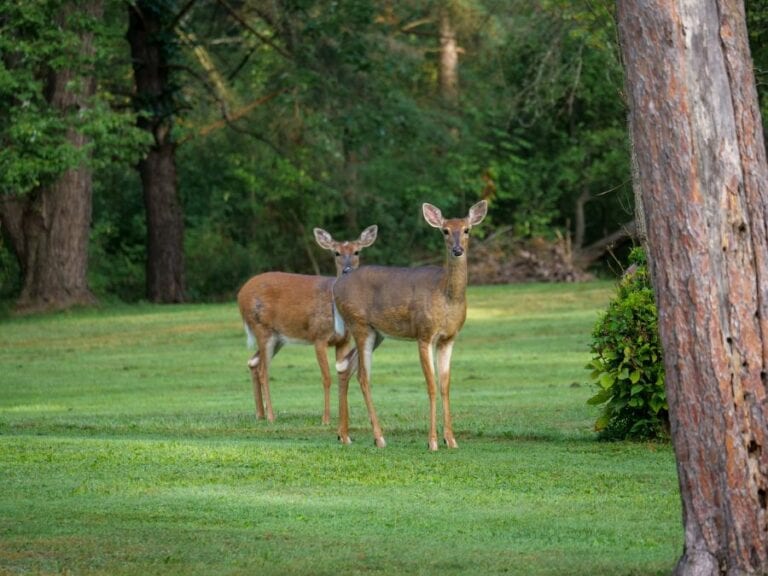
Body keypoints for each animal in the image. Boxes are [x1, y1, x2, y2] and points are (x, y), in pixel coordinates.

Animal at [237, 225, 378, 424]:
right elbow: (326, 378)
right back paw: (271, 416)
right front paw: (325, 419)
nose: (347, 270)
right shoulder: (318, 336)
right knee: (263, 370)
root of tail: (240, 294)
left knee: (253, 362)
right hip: (262, 328)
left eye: (357, 251)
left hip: (278, 337)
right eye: (336, 253)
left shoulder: (343, 340)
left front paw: (343, 418)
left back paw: (260, 414)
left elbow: (342, 374)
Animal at [332, 200, 487, 451]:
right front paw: (432, 441)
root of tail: (336, 285)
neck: (446, 296)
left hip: (377, 333)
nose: (457, 250)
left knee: (346, 368)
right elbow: (431, 385)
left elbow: (445, 385)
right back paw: (378, 437)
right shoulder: (424, 334)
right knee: (363, 377)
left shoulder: (448, 338)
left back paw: (344, 435)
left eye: (467, 230)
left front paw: (451, 440)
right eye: (445, 230)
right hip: (359, 324)